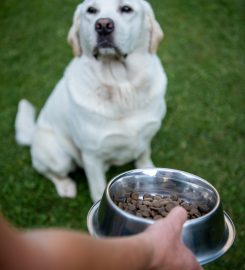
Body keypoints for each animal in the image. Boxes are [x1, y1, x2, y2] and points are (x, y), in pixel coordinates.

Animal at [15, 0, 167, 202]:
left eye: (126, 8)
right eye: (91, 10)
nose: (103, 25)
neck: (121, 86)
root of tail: (33, 135)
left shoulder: (147, 133)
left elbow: (144, 154)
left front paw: (149, 169)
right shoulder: (91, 156)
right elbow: (97, 188)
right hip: (58, 156)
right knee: (47, 171)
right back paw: (65, 186)